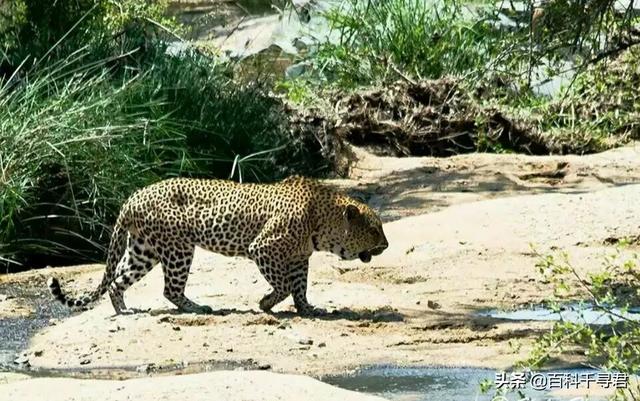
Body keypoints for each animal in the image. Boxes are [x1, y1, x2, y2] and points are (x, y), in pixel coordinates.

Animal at [47, 176, 388, 316]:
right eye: (374, 229)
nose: (386, 245)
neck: (323, 220)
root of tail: (133, 196)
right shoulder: (263, 248)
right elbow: (282, 285)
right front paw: (266, 303)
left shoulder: (298, 258)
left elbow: (299, 286)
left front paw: (308, 309)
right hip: (178, 248)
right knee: (170, 289)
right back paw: (197, 307)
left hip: (144, 249)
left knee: (118, 279)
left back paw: (124, 309)